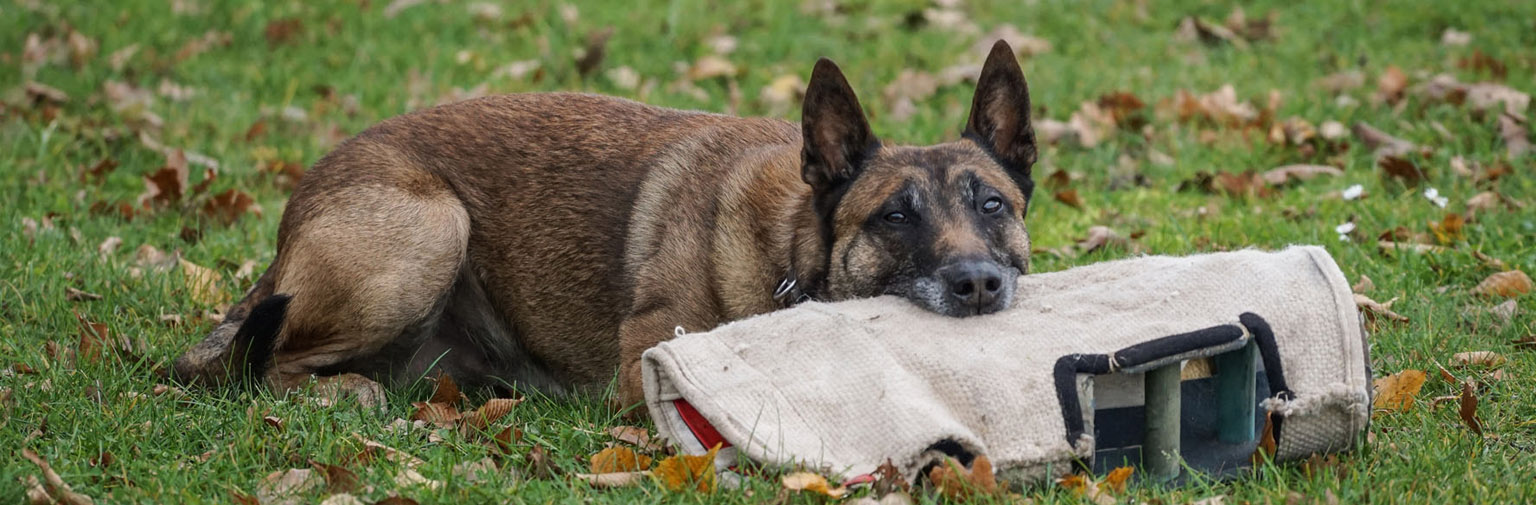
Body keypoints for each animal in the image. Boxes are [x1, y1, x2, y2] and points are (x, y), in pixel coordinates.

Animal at [171, 39, 1044, 408]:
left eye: (992, 204)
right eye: (896, 215)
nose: (977, 284)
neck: (792, 250)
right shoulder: (643, 367)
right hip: (431, 228)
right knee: (272, 361)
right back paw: (341, 393)